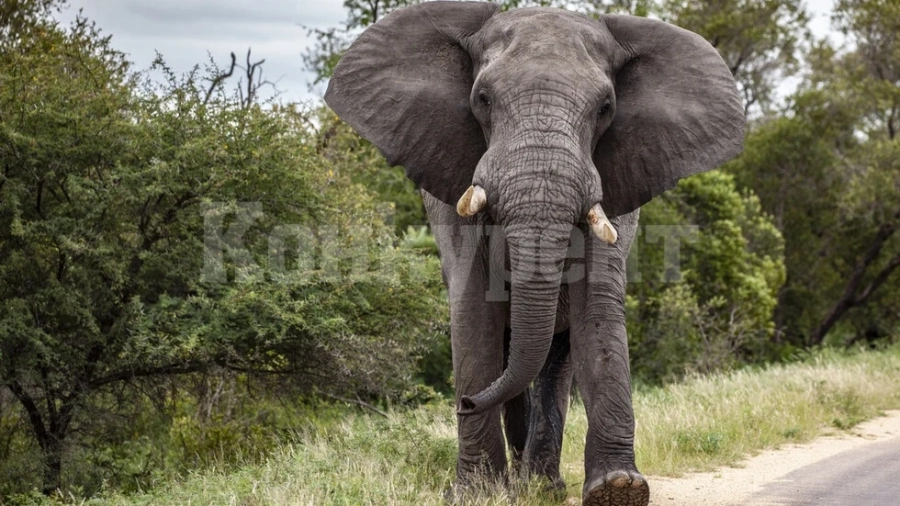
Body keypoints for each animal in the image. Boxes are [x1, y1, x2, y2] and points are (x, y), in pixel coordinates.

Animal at [324, 2, 744, 505]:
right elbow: (473, 310)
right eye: (482, 99)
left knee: (553, 360)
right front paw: (477, 493)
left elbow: (597, 308)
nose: (464, 403)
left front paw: (618, 489)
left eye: (605, 109)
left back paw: (541, 485)